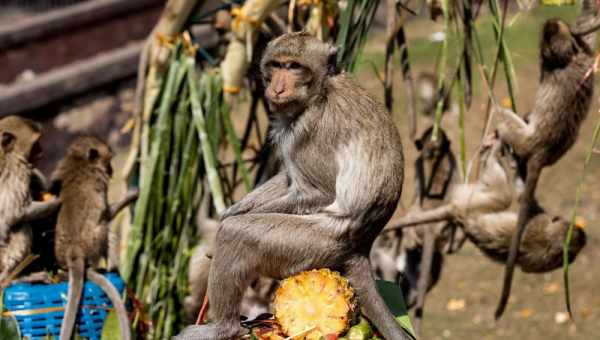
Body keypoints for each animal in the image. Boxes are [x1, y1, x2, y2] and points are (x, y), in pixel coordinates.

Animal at [0, 115, 60, 286]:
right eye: (35, 144)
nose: (42, 152)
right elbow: (17, 212)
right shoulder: (18, 169)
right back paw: (13, 277)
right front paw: (57, 201)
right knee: (21, 225)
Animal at [51, 137, 134, 340]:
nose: (112, 170)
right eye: (108, 161)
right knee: (105, 227)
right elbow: (107, 212)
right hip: (93, 243)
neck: (79, 161)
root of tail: (73, 250)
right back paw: (111, 267)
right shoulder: (100, 183)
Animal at [173, 32, 408, 340]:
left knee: (237, 235)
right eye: (276, 65)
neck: (320, 92)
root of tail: (362, 245)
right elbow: (287, 178)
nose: (277, 86)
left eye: (294, 66)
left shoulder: (310, 129)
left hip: (316, 244)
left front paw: (228, 222)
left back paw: (224, 327)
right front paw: (232, 209)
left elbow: (320, 192)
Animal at [492, 0, 600, 318]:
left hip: (525, 138)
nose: (553, 21)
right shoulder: (583, 53)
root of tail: (542, 150)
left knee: (506, 119)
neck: (566, 60)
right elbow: (588, 29)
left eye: (551, 31)